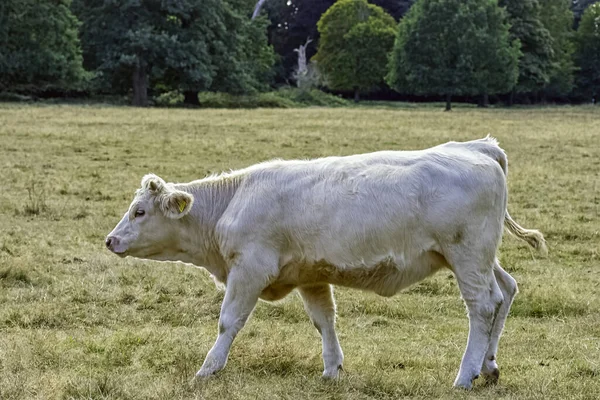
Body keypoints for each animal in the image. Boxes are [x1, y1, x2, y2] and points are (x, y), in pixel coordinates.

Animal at [105, 137, 548, 388]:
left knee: (483, 306)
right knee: (505, 292)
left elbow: (228, 322)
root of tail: (478, 147)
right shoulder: (310, 275)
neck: (232, 201)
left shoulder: (249, 270)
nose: (110, 240)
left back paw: (465, 375)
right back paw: (489, 366)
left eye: (140, 212)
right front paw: (332, 369)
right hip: (480, 258)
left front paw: (208, 369)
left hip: (467, 255)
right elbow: (324, 321)